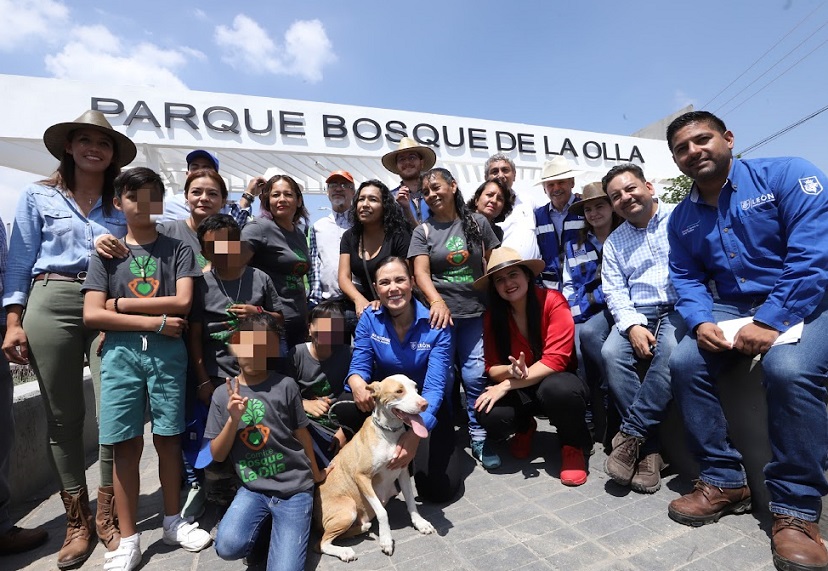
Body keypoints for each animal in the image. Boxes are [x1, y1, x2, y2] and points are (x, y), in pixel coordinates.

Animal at [314, 376, 436, 564]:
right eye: (399, 391)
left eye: (416, 388)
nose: (425, 404)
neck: (389, 433)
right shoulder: (362, 477)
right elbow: (382, 512)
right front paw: (386, 539)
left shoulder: (402, 471)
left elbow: (411, 501)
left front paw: (420, 522)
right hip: (348, 509)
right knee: (321, 544)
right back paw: (345, 552)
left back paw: (362, 528)